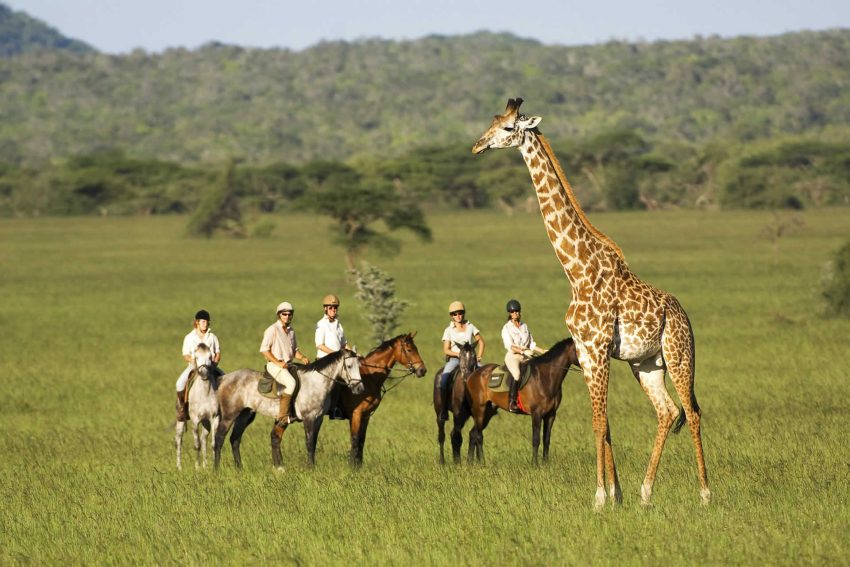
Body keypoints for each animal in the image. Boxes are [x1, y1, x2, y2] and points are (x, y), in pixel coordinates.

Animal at [172, 344, 217, 472]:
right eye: (196, 357)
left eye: (210, 356)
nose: (204, 373)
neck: (204, 392)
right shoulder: (195, 421)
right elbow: (196, 445)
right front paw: (197, 467)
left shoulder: (214, 419)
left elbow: (213, 444)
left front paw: (214, 466)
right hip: (180, 421)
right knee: (179, 441)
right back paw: (179, 467)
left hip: (206, 423)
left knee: (203, 439)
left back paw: (205, 465)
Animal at [214, 350, 362, 470]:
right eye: (349, 366)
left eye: (359, 366)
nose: (359, 388)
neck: (316, 383)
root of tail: (224, 378)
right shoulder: (309, 418)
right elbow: (309, 443)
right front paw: (310, 469)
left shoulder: (318, 419)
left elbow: (313, 443)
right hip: (229, 415)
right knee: (219, 438)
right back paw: (217, 470)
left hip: (245, 415)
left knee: (235, 439)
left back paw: (240, 468)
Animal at [332, 332, 424, 466]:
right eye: (409, 350)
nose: (423, 370)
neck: (369, 377)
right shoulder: (356, 414)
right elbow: (355, 439)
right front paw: (352, 466)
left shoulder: (365, 415)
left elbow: (361, 440)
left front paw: (358, 466)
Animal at [460, 338, 580, 466]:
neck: (545, 377)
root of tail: (472, 375)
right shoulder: (536, 414)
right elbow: (536, 439)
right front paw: (535, 464)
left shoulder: (551, 415)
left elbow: (546, 440)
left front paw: (545, 464)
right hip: (479, 409)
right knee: (478, 435)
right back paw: (482, 463)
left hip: (488, 412)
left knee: (473, 433)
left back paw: (471, 463)